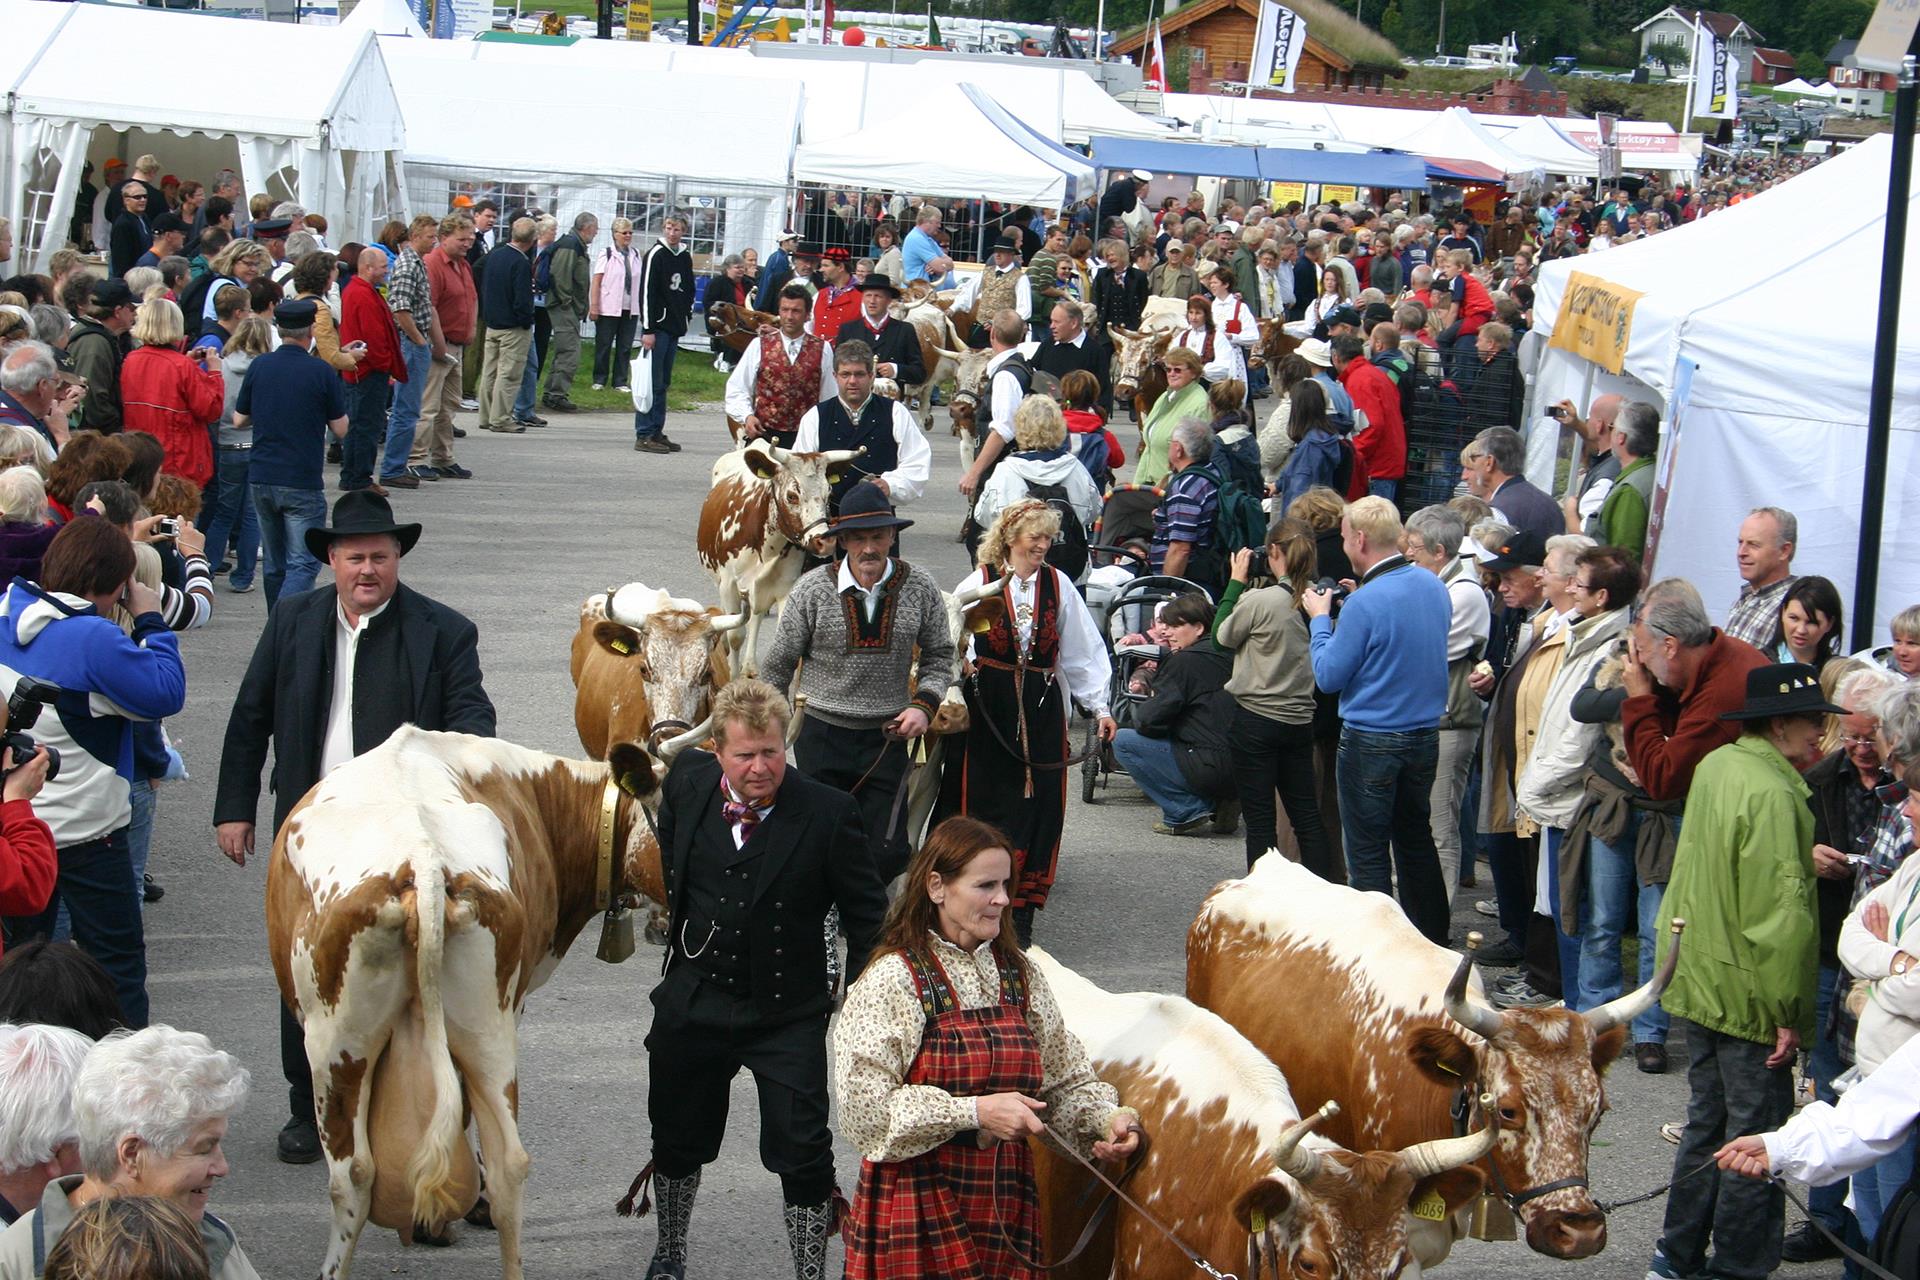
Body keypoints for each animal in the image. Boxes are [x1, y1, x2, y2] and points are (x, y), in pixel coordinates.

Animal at [695, 441, 860, 675]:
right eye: (792, 496)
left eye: (828, 494)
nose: (825, 542)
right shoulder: (729, 584)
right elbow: (735, 634)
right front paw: (732, 675)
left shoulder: (785, 587)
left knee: (756, 614)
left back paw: (750, 664)